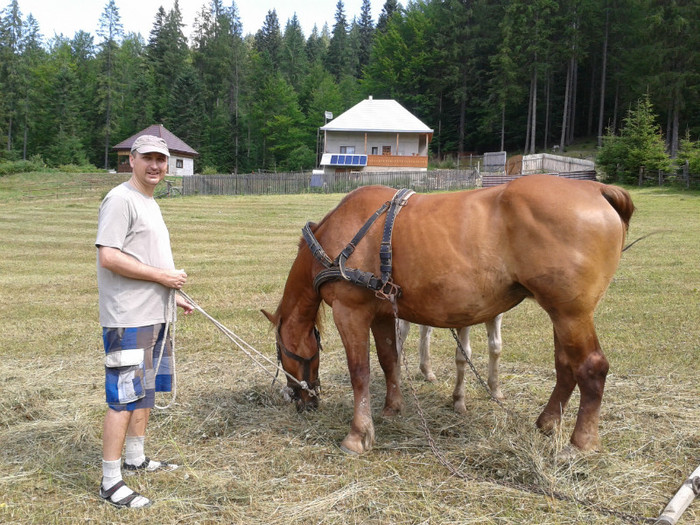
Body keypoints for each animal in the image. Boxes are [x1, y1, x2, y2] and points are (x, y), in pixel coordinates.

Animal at [262, 174, 636, 452]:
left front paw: (358, 434)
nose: (300, 398)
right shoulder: (382, 313)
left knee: (591, 367)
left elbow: (360, 372)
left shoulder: (350, 311)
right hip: (561, 313)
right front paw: (391, 408)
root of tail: (597, 189)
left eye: (281, 353)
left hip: (571, 313)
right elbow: (389, 361)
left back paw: (582, 441)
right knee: (565, 366)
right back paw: (547, 422)